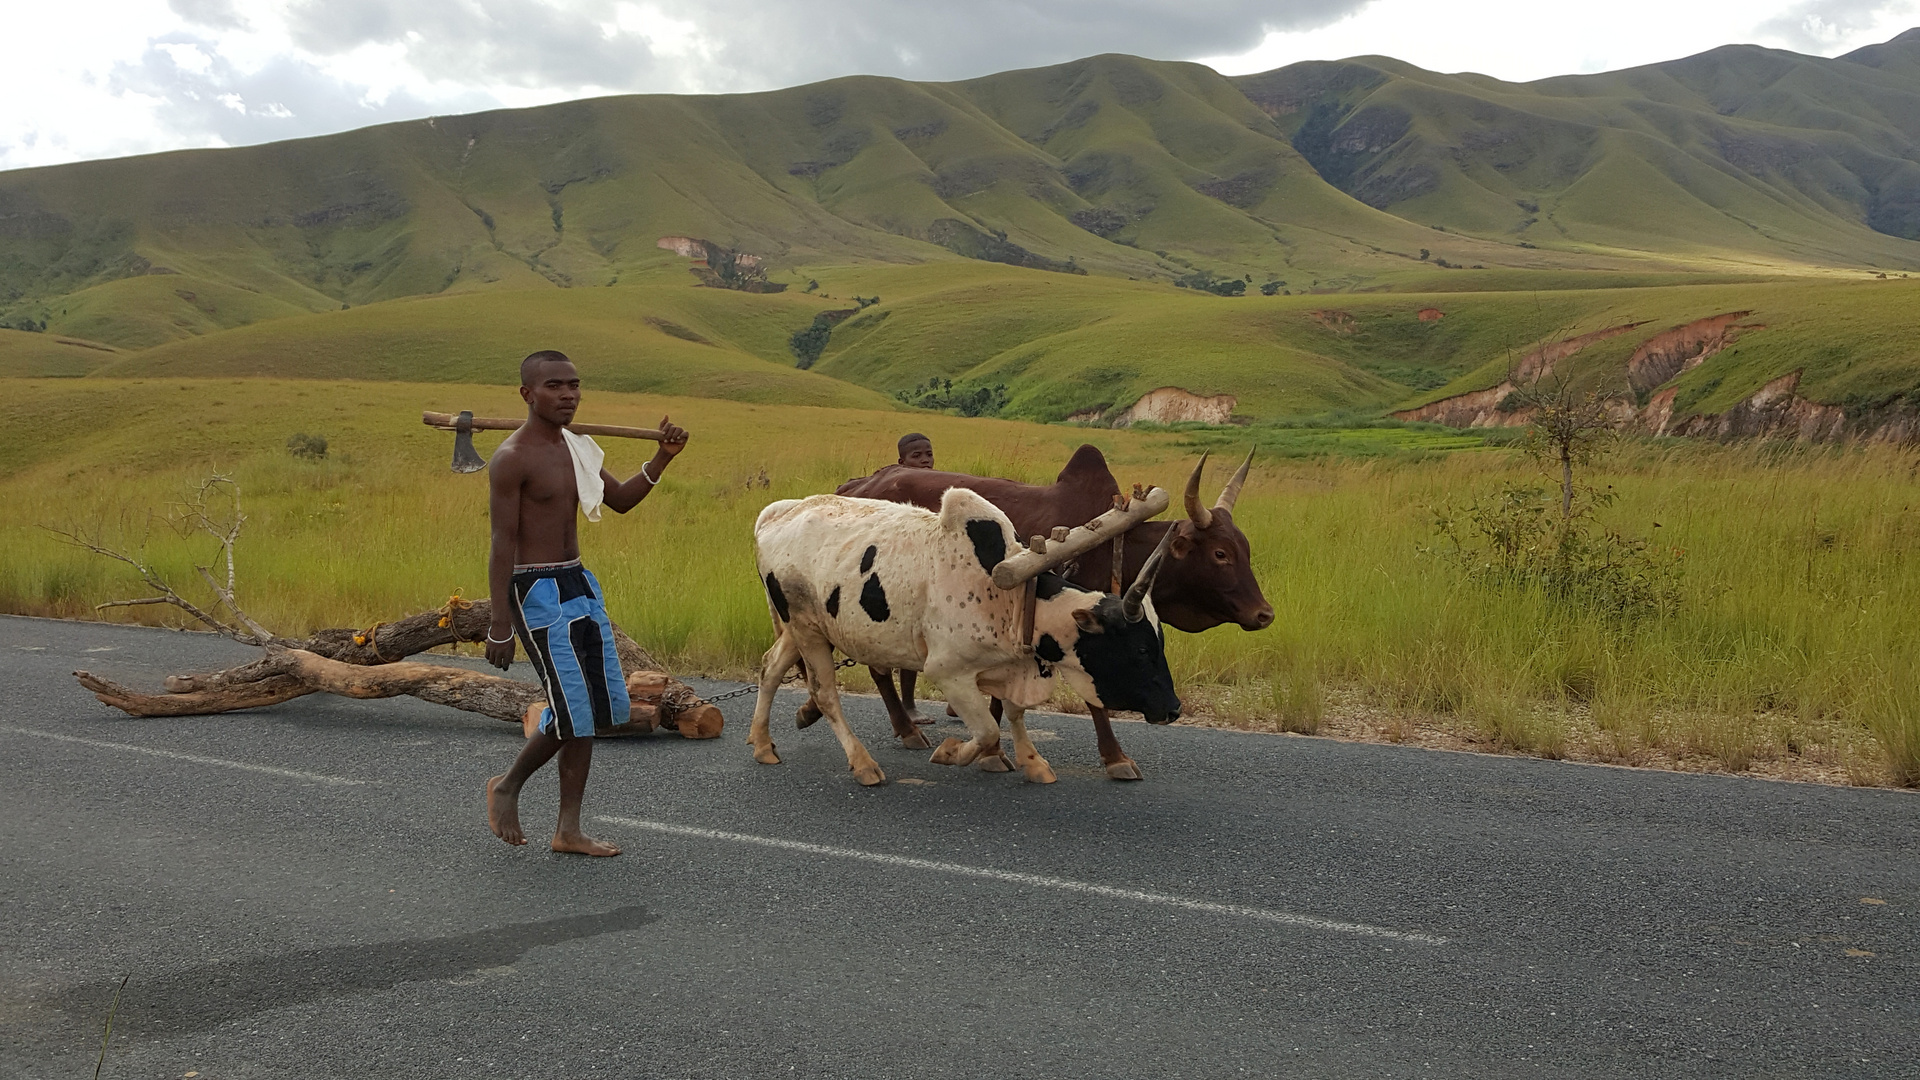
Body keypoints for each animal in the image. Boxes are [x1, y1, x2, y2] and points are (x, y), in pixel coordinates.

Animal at [752, 488, 1182, 780]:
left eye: (1160, 643)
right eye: (1140, 650)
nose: (1174, 709)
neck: (1012, 597)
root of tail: (778, 513)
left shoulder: (1011, 667)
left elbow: (1014, 713)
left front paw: (1032, 762)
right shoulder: (948, 673)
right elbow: (988, 729)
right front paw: (951, 752)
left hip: (802, 628)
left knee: (770, 668)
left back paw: (762, 744)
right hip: (806, 630)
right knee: (825, 693)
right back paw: (862, 764)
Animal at [817, 441, 1267, 776]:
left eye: (1245, 548)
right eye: (1221, 554)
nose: (1265, 614)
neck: (1112, 543)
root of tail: (849, 487)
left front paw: (998, 752)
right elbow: (1091, 700)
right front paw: (1115, 758)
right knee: (878, 670)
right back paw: (905, 728)